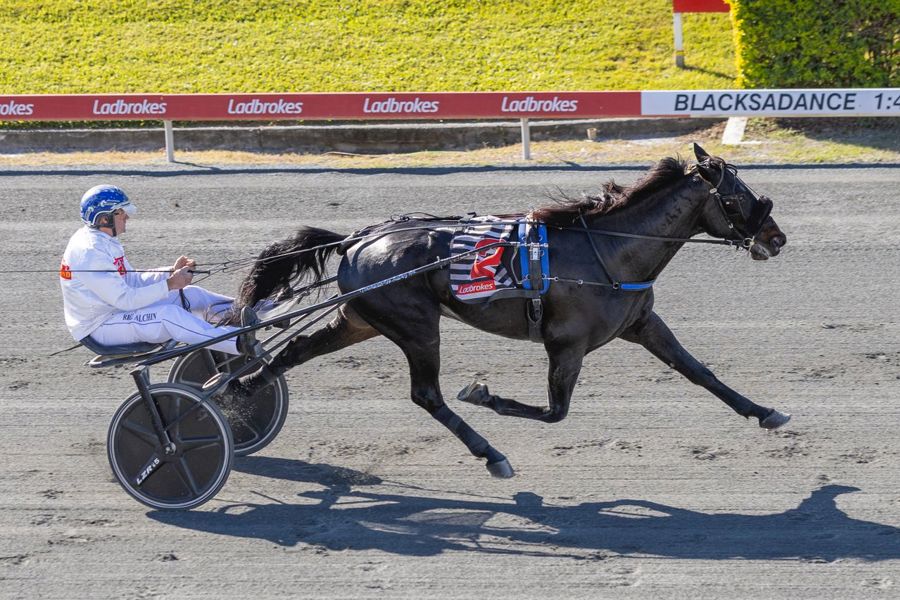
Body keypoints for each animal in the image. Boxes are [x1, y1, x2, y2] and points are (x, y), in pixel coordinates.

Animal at [229, 144, 790, 477]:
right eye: (738, 197)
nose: (777, 238)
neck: (605, 250)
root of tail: (358, 239)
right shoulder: (566, 344)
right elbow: (554, 411)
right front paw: (484, 394)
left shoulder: (642, 323)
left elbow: (698, 371)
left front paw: (765, 411)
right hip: (416, 327)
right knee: (426, 394)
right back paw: (491, 453)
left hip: (361, 318)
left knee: (295, 352)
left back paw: (239, 395)